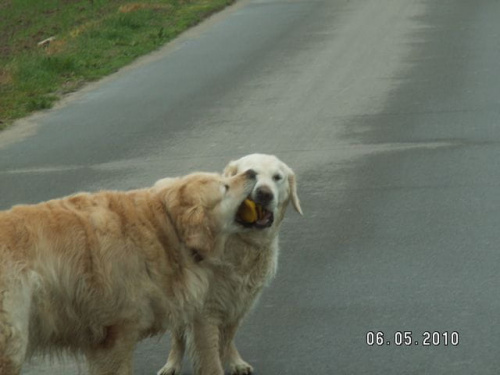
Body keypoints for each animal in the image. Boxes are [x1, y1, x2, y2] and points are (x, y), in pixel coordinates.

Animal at [0, 171, 258, 375]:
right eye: (225, 187)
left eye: (224, 177)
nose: (251, 172)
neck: (167, 226)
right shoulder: (115, 335)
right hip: (12, 344)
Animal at [158, 153, 302, 375]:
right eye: (252, 173)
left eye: (277, 177)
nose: (264, 193)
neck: (242, 244)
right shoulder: (205, 312)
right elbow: (209, 355)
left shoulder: (240, 301)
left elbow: (224, 342)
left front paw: (232, 360)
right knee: (178, 336)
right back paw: (171, 365)